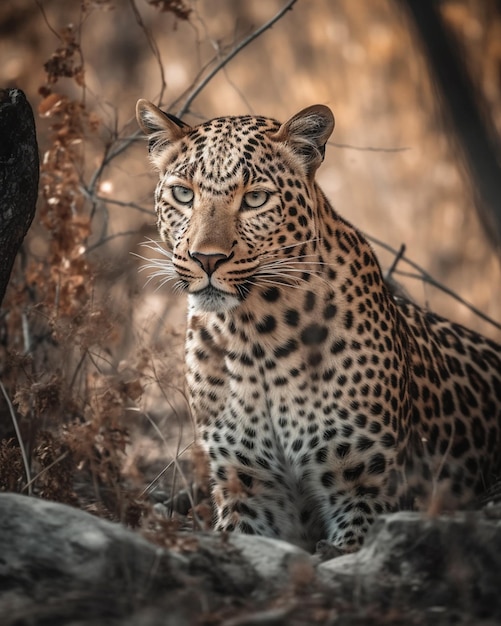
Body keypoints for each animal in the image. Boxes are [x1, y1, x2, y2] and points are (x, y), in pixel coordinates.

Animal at [136, 98, 500, 552]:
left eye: (255, 199)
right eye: (183, 194)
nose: (206, 258)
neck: (252, 334)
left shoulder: (366, 491)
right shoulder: (248, 490)